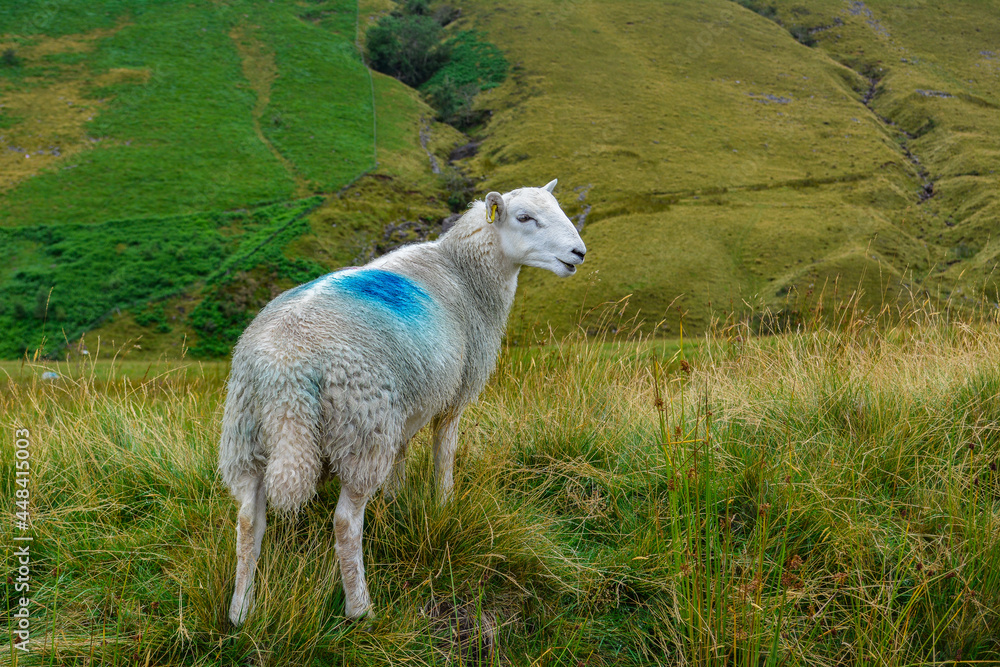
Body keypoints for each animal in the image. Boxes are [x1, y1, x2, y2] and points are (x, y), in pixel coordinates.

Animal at [219, 179, 587, 624]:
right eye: (525, 217)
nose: (579, 253)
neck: (464, 272)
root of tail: (285, 373)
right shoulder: (453, 395)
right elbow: (445, 453)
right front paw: (444, 503)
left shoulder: (409, 405)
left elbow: (402, 455)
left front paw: (395, 502)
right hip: (362, 428)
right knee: (344, 523)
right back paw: (360, 608)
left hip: (248, 435)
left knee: (247, 522)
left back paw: (241, 611)